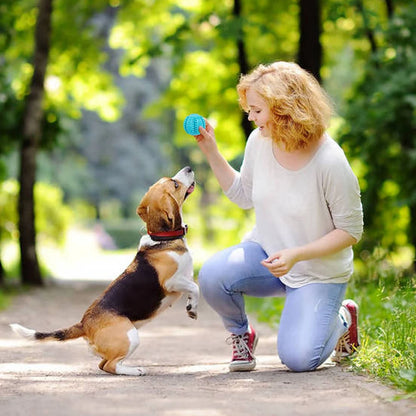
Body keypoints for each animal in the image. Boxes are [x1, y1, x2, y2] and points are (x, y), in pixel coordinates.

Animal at [9, 167, 198, 376]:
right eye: (175, 184)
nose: (189, 168)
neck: (162, 239)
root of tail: (84, 323)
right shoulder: (171, 282)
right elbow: (195, 287)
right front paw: (193, 307)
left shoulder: (185, 278)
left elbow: (193, 288)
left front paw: (191, 307)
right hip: (131, 336)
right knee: (110, 365)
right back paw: (135, 370)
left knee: (103, 365)